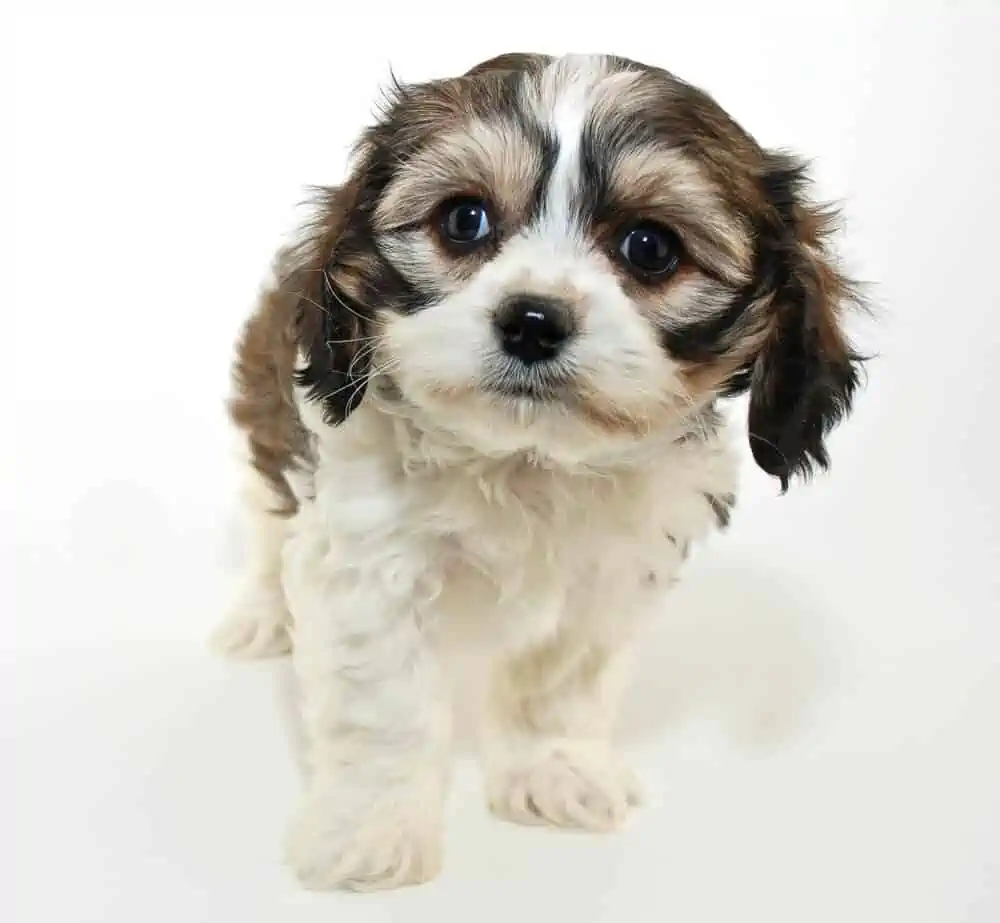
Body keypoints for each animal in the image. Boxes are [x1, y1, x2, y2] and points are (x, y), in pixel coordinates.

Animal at [213, 54, 868, 892]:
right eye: (464, 219)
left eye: (650, 246)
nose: (530, 319)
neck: (527, 458)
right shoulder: (367, 558)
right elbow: (384, 705)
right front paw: (372, 828)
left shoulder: (609, 575)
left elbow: (559, 682)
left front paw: (554, 770)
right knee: (271, 522)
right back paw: (261, 614)